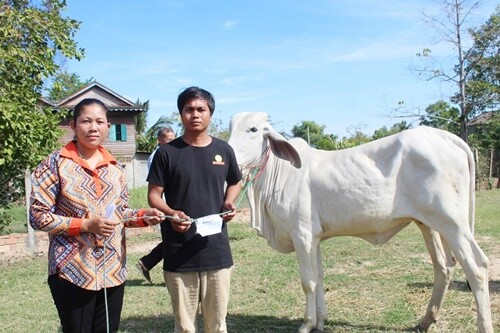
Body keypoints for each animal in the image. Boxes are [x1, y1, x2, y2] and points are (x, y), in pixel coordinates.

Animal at [228, 112, 492, 332]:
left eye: (253, 129)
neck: (279, 174)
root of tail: (448, 137)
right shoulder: (315, 238)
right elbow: (320, 277)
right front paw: (321, 321)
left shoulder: (302, 234)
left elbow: (308, 282)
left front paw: (307, 324)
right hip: (430, 224)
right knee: (444, 266)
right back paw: (425, 321)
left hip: (453, 224)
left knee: (478, 268)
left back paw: (482, 325)